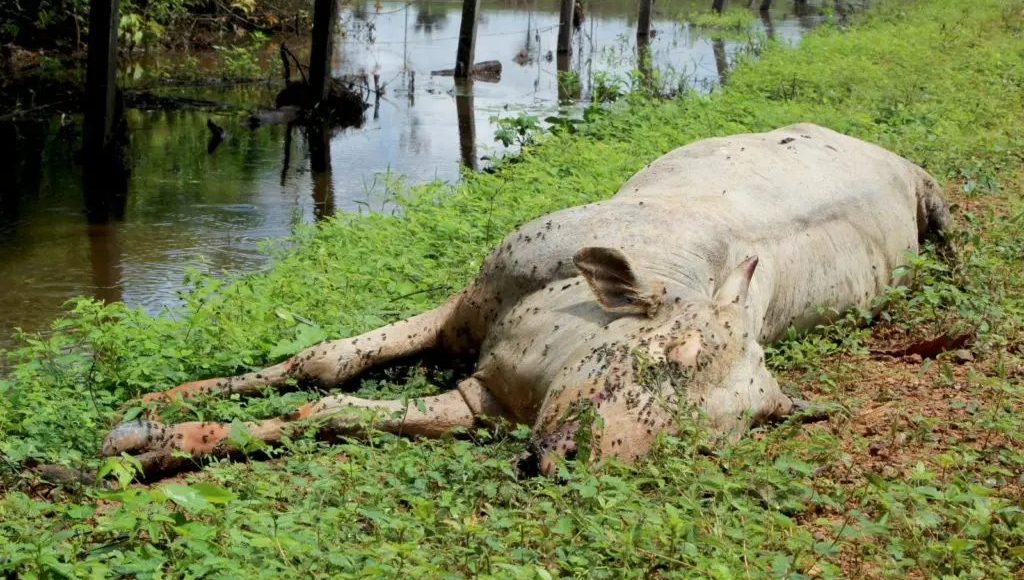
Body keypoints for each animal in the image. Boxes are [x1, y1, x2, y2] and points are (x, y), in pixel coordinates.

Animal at [105, 122, 950, 477]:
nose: (566, 458)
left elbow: (336, 411)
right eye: (671, 354)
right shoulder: (467, 301)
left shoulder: (476, 403)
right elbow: (325, 364)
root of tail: (910, 168)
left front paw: (168, 441)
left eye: (717, 437)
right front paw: (156, 405)